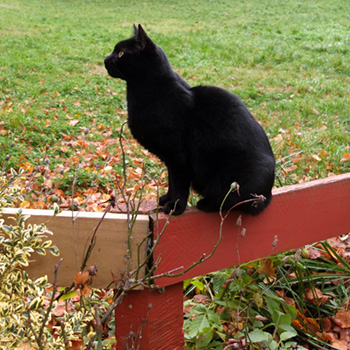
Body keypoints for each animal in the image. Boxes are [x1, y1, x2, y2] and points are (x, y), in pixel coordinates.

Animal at [105, 24, 274, 215]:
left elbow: (179, 185)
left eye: (120, 53)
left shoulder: (178, 158)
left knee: (234, 203)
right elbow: (171, 181)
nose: (105, 60)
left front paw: (175, 207)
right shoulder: (170, 160)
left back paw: (206, 203)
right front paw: (166, 199)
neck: (144, 91)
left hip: (229, 180)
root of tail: (269, 194)